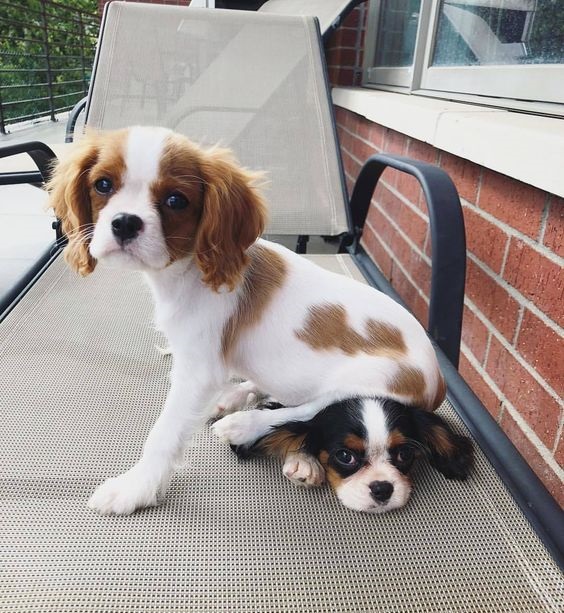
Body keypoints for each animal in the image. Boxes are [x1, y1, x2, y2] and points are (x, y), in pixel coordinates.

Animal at [47, 126, 462, 512]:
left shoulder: (198, 370)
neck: (186, 272)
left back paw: (243, 424)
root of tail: (440, 376)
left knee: (311, 410)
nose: (125, 223)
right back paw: (235, 396)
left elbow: (164, 432)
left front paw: (136, 487)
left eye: (176, 200)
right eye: (103, 185)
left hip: (370, 381)